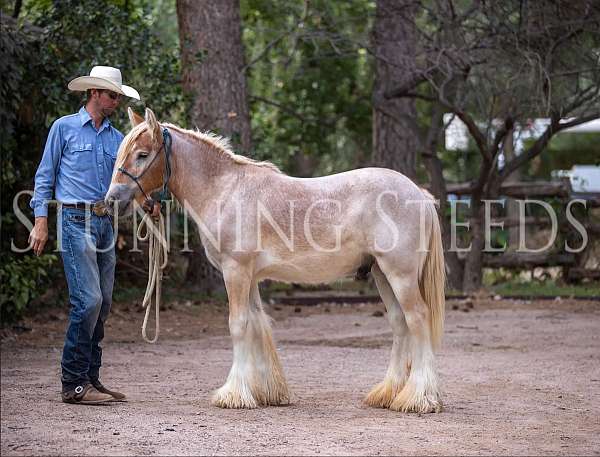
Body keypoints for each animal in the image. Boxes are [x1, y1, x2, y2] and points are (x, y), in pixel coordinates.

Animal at [105, 108, 446, 414]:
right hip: (381, 274)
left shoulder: (236, 271)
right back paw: (389, 394)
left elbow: (238, 325)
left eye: (142, 154)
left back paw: (418, 398)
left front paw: (233, 394)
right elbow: (257, 324)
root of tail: (418, 193)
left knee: (417, 319)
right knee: (400, 324)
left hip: (399, 275)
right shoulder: (250, 277)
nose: (111, 200)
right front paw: (266, 392)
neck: (225, 191)